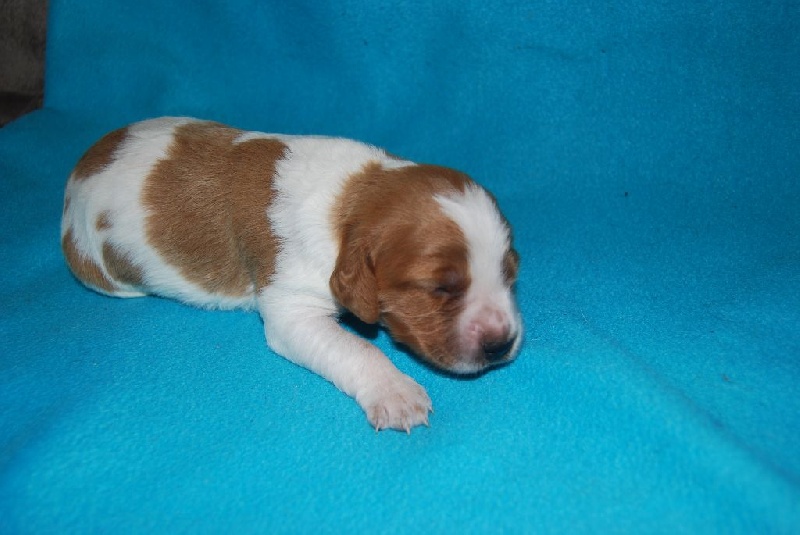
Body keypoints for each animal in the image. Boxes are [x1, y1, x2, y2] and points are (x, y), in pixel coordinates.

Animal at [61, 117, 522, 432]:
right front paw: (397, 392)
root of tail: (80, 171)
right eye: (439, 287)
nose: (501, 344)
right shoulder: (294, 308)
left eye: (510, 274)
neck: (353, 200)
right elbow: (359, 349)